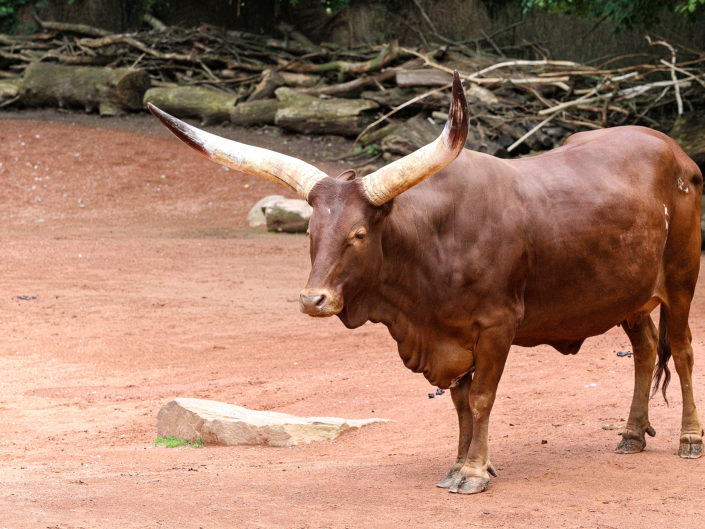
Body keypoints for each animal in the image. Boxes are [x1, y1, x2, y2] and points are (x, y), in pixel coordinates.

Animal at [147, 71, 703, 494]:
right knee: (647, 349)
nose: (313, 299)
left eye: (359, 234)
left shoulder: (497, 326)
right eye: (309, 231)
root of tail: (677, 153)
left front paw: (474, 472)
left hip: (680, 279)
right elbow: (459, 404)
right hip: (629, 296)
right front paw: (460, 464)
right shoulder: (449, 335)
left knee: (682, 349)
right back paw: (632, 433)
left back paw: (689, 438)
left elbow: (481, 399)